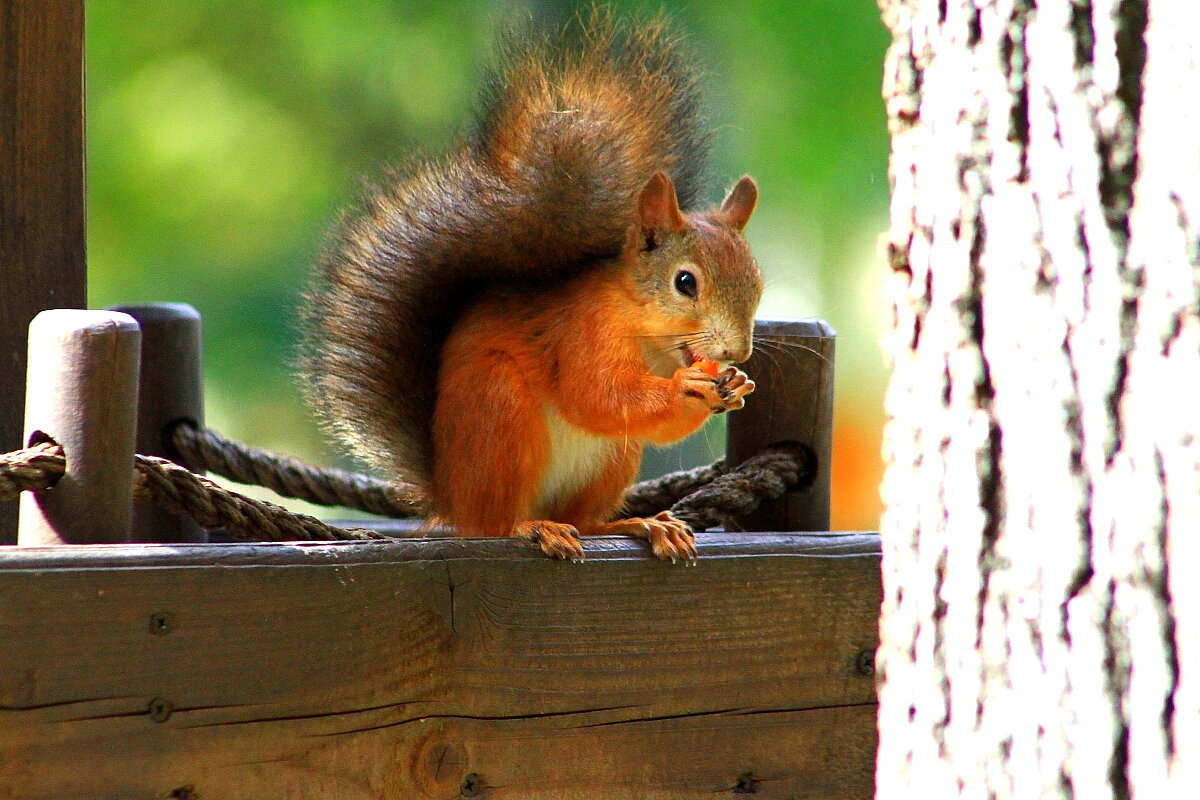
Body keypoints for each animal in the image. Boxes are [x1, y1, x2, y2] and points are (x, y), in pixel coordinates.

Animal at [304, 14, 763, 563]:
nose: (737, 351)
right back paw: (531, 527)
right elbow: (595, 393)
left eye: (758, 282)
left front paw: (736, 385)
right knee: (494, 522)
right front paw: (685, 388)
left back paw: (639, 523)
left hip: (613, 456)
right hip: (498, 413)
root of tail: (449, 497)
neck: (644, 329)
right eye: (685, 282)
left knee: (584, 519)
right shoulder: (584, 330)